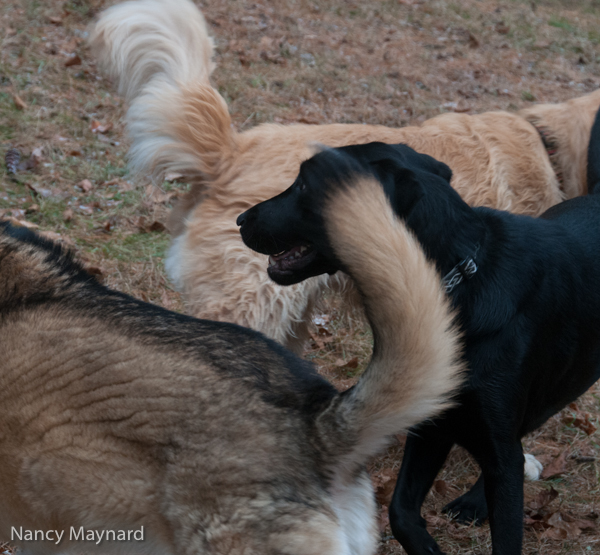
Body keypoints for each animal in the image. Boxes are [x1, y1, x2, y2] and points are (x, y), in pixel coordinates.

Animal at [237, 111, 600, 552]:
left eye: (306, 184)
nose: (240, 220)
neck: (456, 284)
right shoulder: (432, 425)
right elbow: (400, 511)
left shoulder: (493, 439)